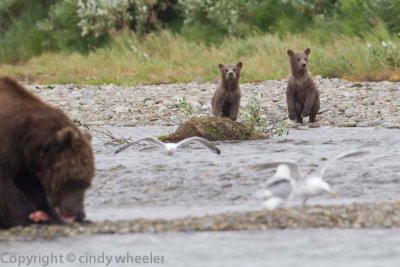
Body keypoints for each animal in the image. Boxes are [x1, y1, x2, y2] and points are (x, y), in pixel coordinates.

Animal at [0, 77, 94, 230]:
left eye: (88, 183)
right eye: (75, 181)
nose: (80, 213)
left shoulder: (23, 160)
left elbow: (32, 188)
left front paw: (51, 216)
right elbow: (7, 190)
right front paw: (28, 217)